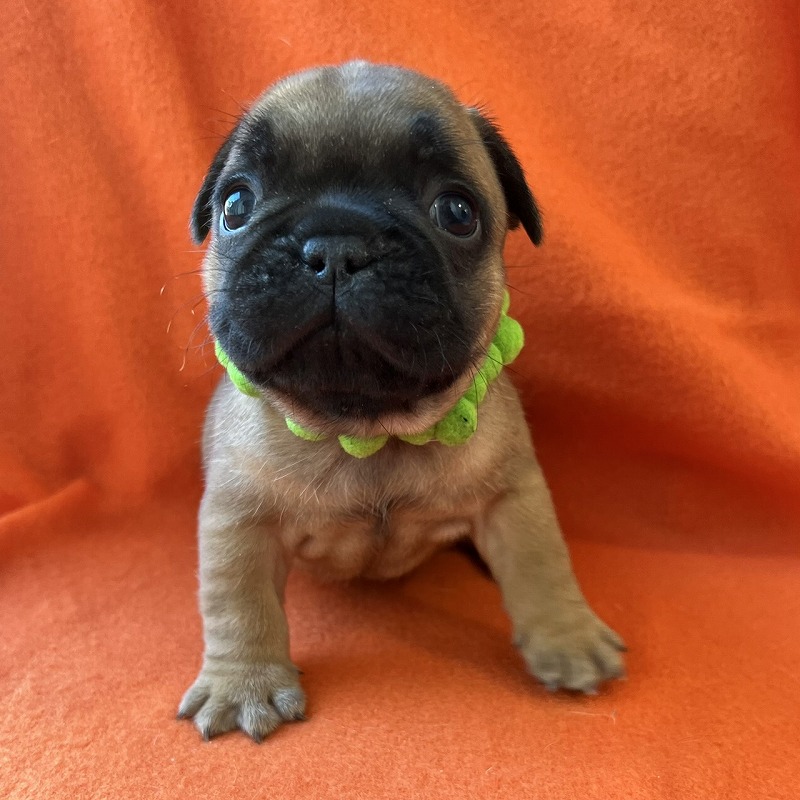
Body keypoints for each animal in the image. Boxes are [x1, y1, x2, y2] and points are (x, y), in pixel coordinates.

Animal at [178, 61, 625, 742]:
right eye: (236, 205)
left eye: (458, 211)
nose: (335, 246)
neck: (368, 430)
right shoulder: (238, 519)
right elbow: (239, 604)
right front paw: (244, 684)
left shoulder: (514, 496)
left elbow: (542, 566)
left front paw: (569, 640)